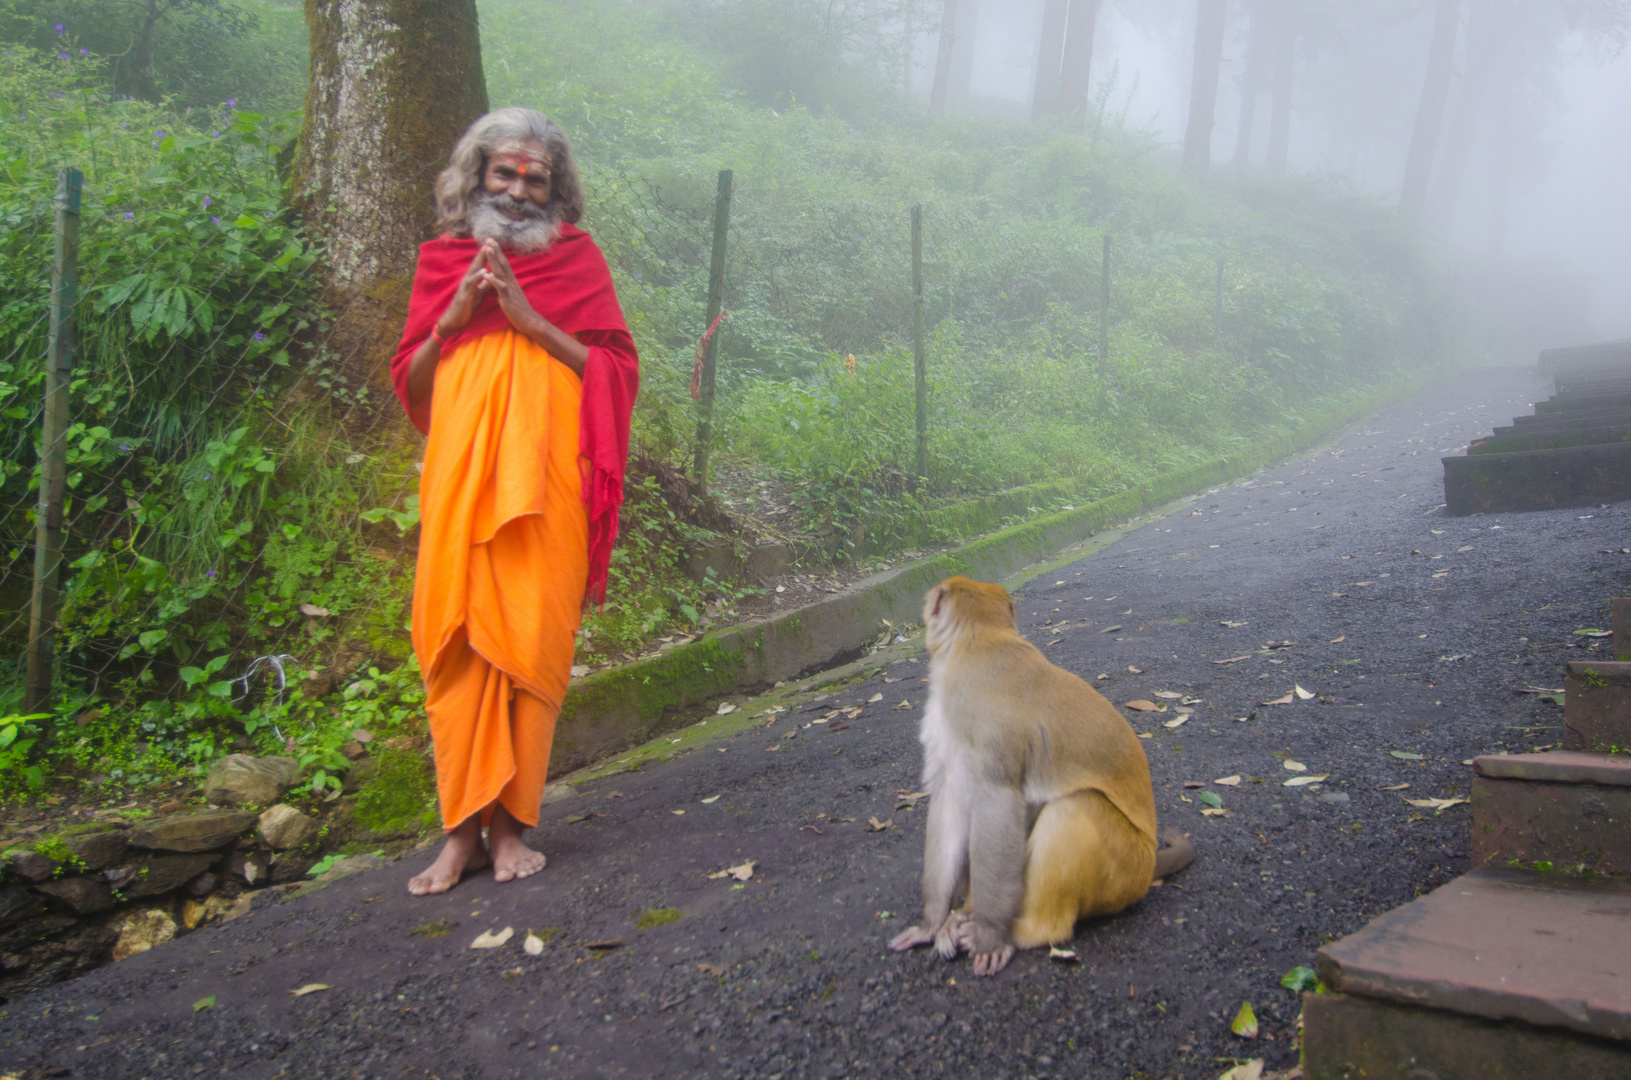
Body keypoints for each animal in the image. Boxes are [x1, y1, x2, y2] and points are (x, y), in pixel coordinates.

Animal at [887, 580, 1193, 978]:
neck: (978, 639)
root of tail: (1149, 865)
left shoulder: (983, 725)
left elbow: (999, 802)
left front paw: (989, 936)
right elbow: (952, 803)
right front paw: (932, 924)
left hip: (1126, 871)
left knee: (1074, 808)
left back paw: (1027, 930)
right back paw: (966, 915)